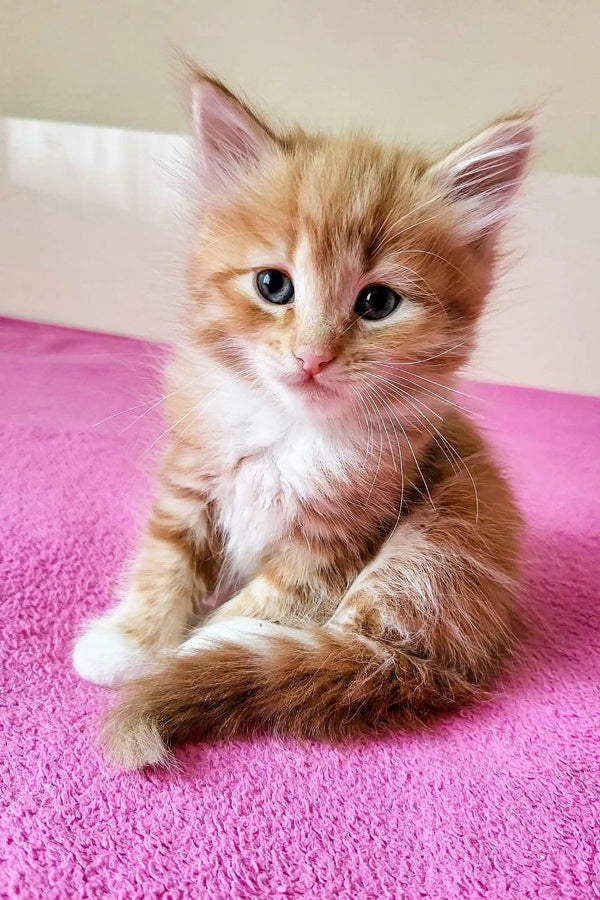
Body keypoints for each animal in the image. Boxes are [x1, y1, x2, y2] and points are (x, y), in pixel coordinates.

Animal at [72, 67, 532, 768]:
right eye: (273, 285)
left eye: (377, 302)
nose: (312, 357)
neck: (291, 431)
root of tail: (454, 665)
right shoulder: (191, 479)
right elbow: (166, 562)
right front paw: (130, 640)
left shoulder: (338, 536)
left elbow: (260, 608)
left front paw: (186, 653)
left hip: (437, 542)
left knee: (347, 645)